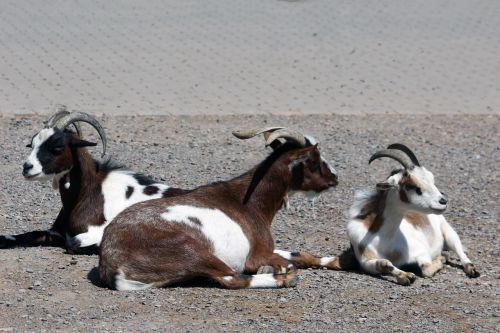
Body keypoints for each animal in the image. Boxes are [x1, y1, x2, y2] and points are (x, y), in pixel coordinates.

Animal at [0, 108, 184, 252]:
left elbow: (72, 243)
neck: (89, 192)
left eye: (57, 147)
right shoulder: (56, 232)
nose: (27, 167)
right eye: (32, 144)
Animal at [99, 128, 338, 290]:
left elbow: (299, 254)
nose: (335, 177)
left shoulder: (267, 248)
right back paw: (284, 279)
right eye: (314, 161)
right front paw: (279, 270)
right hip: (191, 250)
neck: (249, 202)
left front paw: (336, 261)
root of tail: (112, 264)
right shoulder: (256, 254)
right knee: (232, 278)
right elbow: (285, 263)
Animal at [348, 144, 480, 284]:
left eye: (431, 178)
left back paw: (471, 269)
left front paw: (442, 258)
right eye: (411, 185)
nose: (443, 201)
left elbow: (426, 269)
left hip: (448, 232)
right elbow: (384, 264)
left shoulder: (421, 252)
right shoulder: (365, 261)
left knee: (459, 249)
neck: (385, 240)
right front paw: (406, 276)